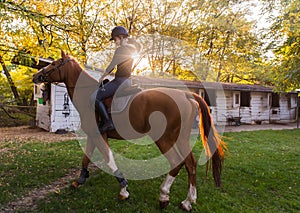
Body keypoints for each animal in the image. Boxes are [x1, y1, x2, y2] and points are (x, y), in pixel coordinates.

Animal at [32, 50, 225, 211]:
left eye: (54, 63)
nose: (36, 76)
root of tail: (186, 94)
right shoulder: (94, 135)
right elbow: (86, 157)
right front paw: (80, 180)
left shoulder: (100, 135)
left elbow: (108, 159)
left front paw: (123, 189)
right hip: (180, 138)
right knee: (190, 164)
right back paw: (188, 202)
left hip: (163, 139)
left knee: (176, 162)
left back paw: (164, 196)